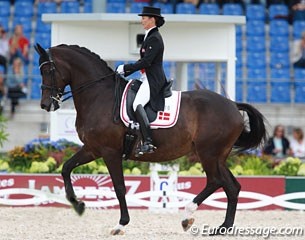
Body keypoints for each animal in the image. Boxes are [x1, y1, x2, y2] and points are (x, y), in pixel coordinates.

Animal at [34, 44, 264, 235]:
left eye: (48, 70)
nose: (46, 104)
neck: (99, 96)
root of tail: (233, 105)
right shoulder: (92, 149)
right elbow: (66, 168)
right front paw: (78, 204)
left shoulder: (110, 152)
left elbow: (119, 187)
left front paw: (120, 224)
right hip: (218, 156)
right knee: (231, 187)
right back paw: (223, 227)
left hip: (207, 153)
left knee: (215, 181)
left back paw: (187, 216)